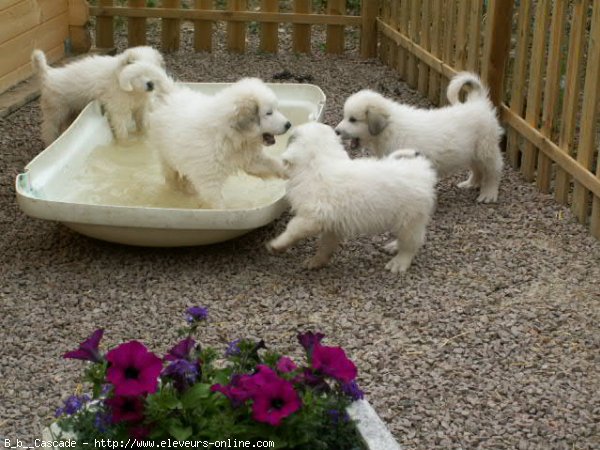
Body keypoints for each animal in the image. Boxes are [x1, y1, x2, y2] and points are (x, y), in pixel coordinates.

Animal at [31, 45, 168, 145]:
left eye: (154, 71)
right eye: (138, 71)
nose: (151, 84)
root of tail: (49, 74)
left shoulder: (141, 108)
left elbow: (143, 126)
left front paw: (143, 138)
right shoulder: (117, 110)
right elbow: (122, 132)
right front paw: (124, 145)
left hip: (71, 111)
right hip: (56, 111)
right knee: (48, 128)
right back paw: (50, 142)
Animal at [148, 78, 292, 209]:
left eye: (276, 109)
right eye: (269, 113)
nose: (288, 124)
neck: (229, 136)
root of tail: (170, 93)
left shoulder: (250, 159)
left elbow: (272, 164)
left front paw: (290, 172)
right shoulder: (209, 180)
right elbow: (217, 202)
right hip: (167, 156)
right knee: (171, 175)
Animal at [268, 121, 436, 272]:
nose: (290, 129)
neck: (318, 164)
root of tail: (420, 168)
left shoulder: (312, 217)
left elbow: (293, 229)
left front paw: (277, 245)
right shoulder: (332, 224)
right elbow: (326, 245)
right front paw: (317, 261)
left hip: (411, 217)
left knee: (411, 243)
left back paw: (399, 262)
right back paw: (394, 245)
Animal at [336, 71, 504, 202]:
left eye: (352, 119)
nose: (336, 131)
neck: (389, 128)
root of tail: (478, 102)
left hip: (485, 148)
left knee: (493, 170)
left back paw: (489, 194)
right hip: (470, 151)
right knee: (477, 169)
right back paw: (471, 183)